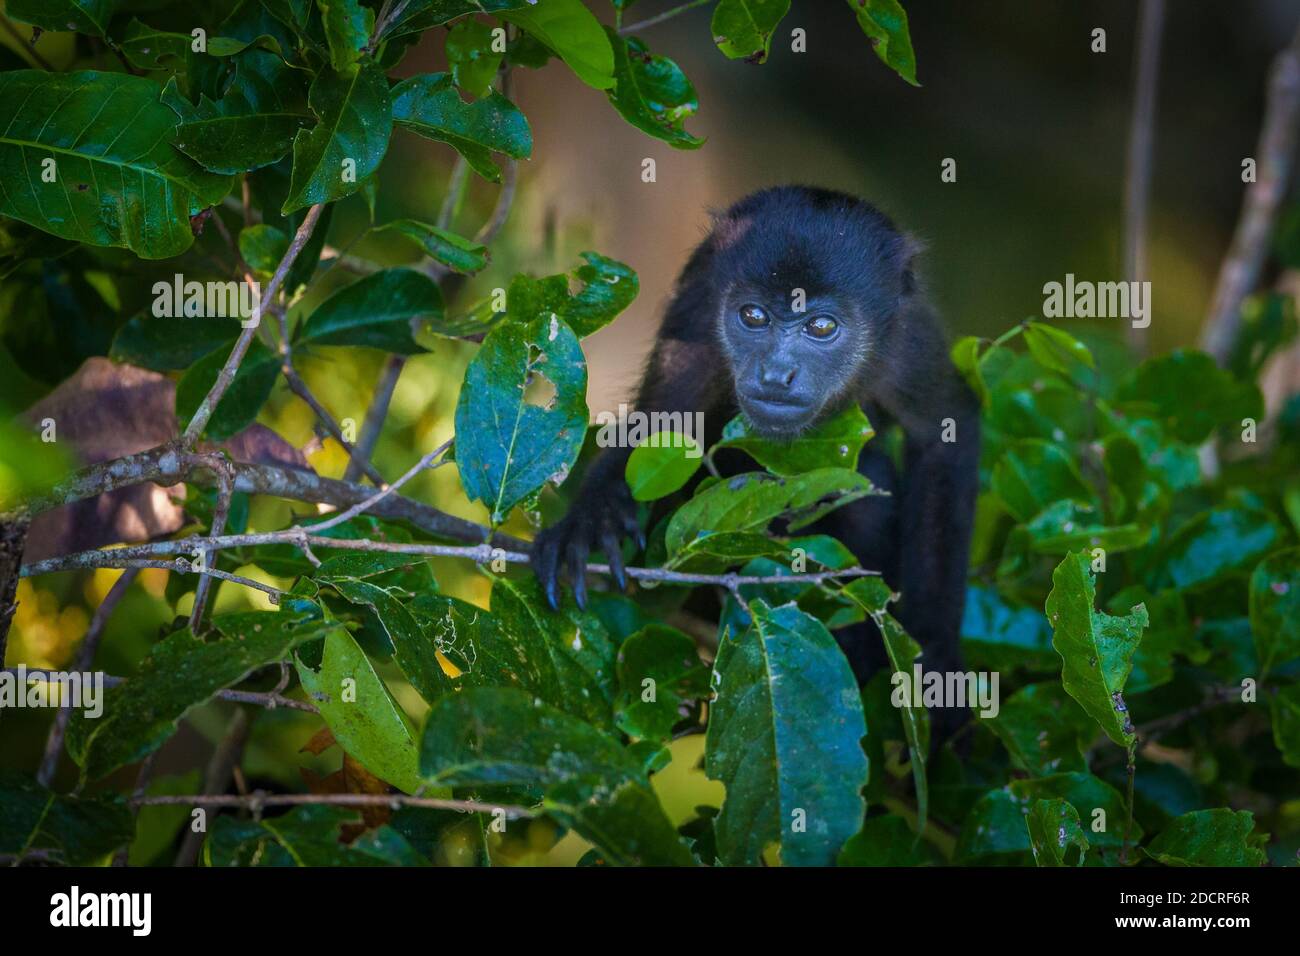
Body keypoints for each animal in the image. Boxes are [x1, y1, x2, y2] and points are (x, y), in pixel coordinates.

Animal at [533, 187, 977, 738]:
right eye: (753, 317)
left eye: (822, 325)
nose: (775, 374)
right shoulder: (697, 315)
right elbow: (660, 423)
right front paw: (592, 518)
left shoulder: (910, 340)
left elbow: (946, 432)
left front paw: (937, 660)